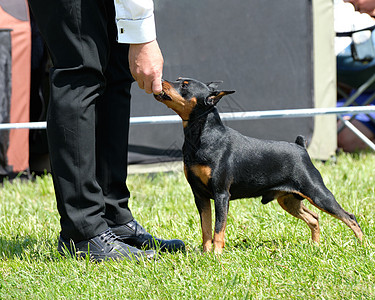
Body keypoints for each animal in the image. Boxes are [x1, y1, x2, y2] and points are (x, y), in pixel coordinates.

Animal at [154, 77, 362, 253]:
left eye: (184, 86)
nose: (161, 80)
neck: (202, 135)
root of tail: (301, 147)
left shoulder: (221, 194)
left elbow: (218, 229)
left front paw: (217, 256)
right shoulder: (200, 196)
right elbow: (206, 229)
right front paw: (206, 255)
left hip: (317, 194)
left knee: (350, 217)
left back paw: (362, 245)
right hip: (288, 199)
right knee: (314, 218)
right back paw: (315, 246)